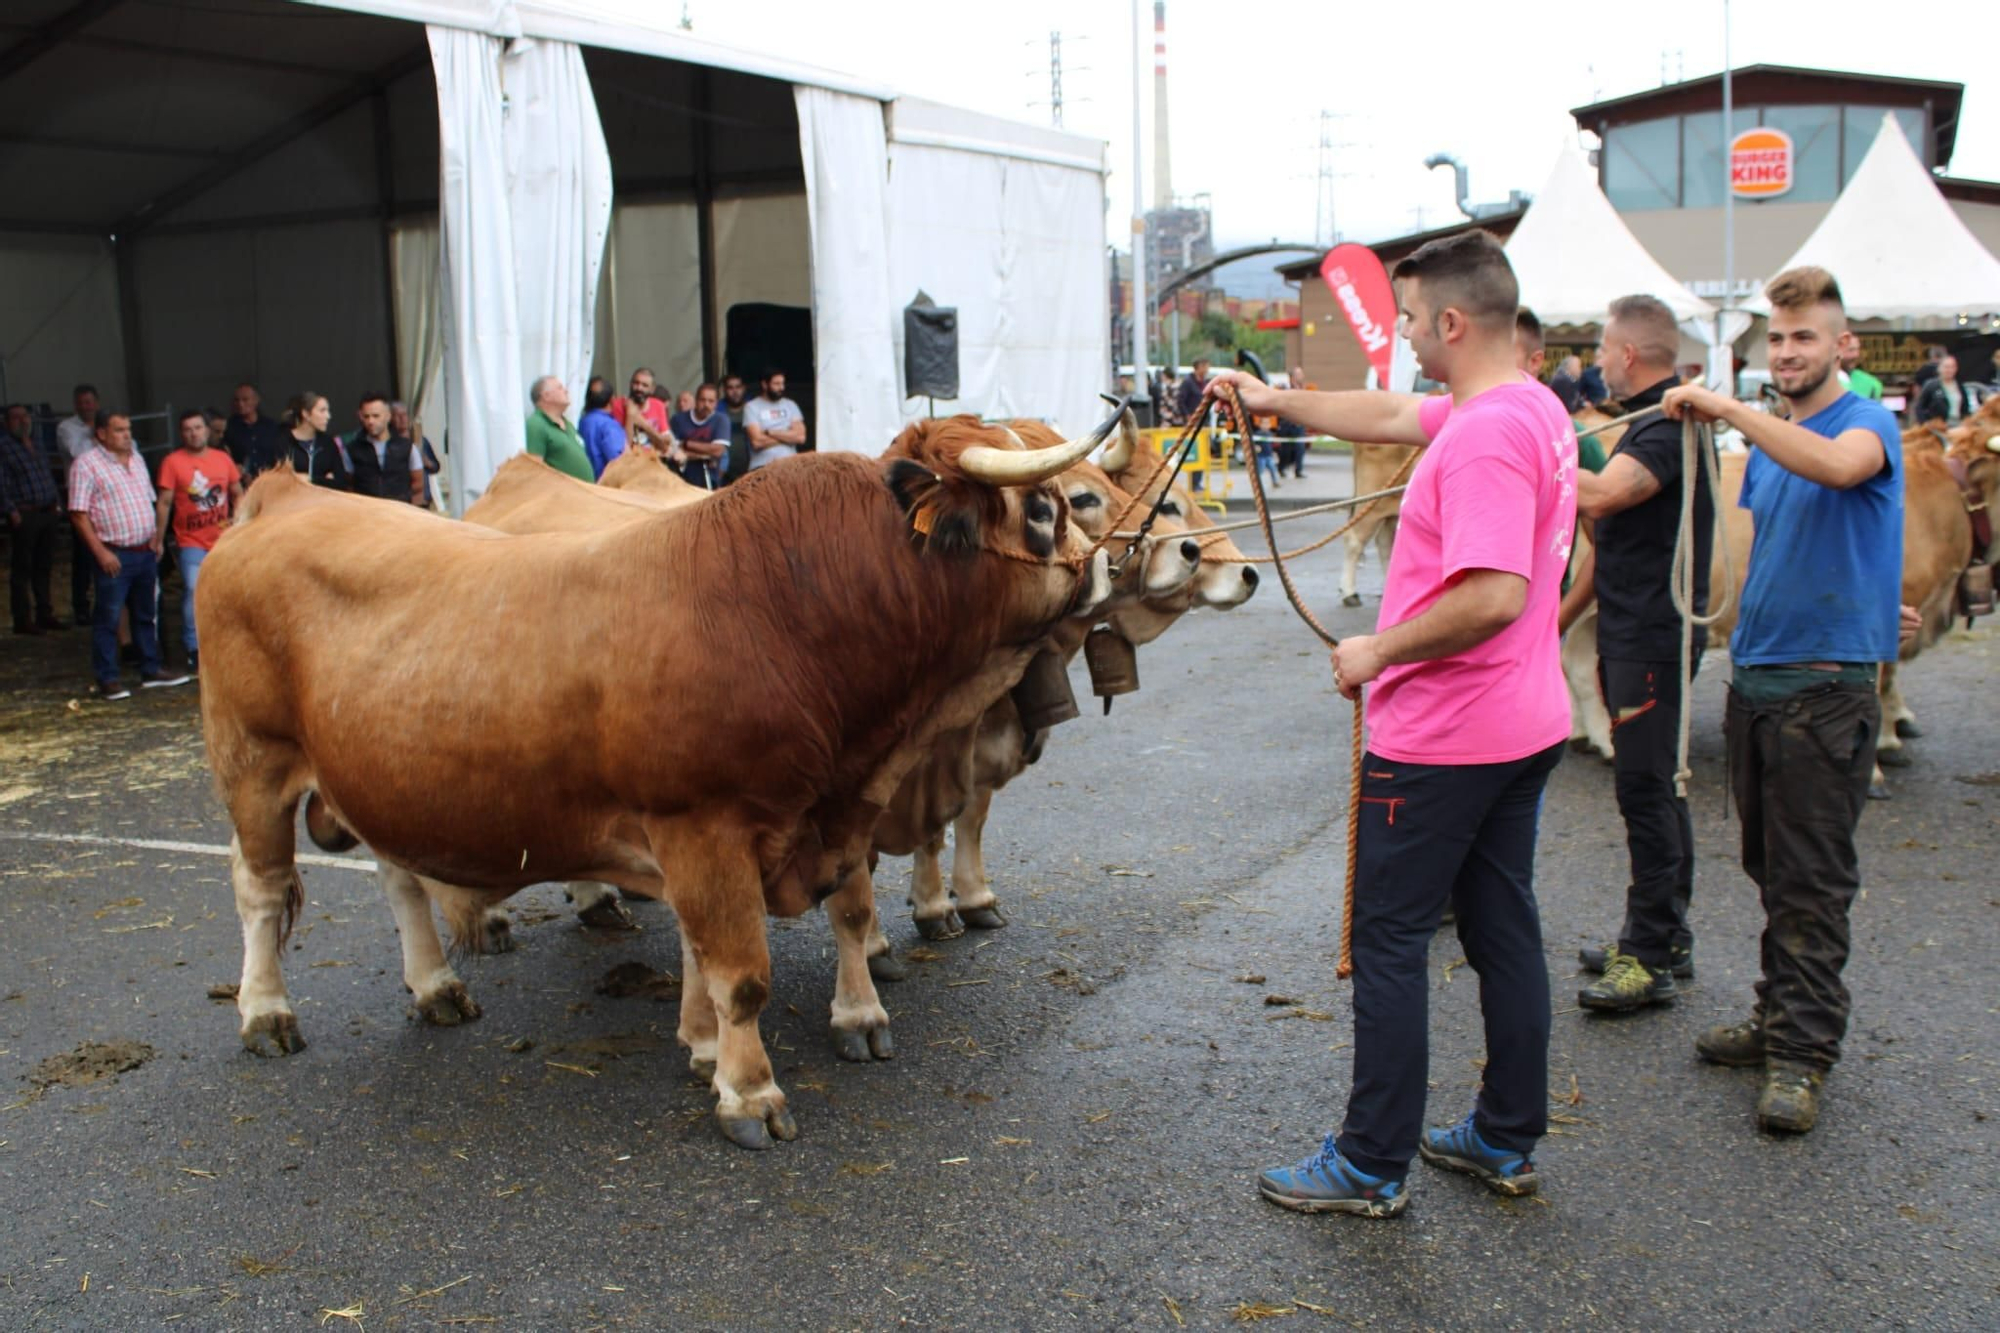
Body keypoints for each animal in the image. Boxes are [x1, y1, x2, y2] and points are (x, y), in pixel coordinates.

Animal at [203, 416, 1128, 1144]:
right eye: (1043, 509)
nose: (1108, 564)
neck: (795, 606)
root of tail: (286, 495)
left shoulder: (835, 811)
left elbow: (843, 915)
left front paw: (775, 1032)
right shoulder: (700, 821)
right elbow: (741, 970)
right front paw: (748, 1090)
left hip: (379, 771)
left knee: (397, 876)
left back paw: (435, 985)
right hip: (252, 761)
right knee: (258, 888)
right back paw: (265, 1011)